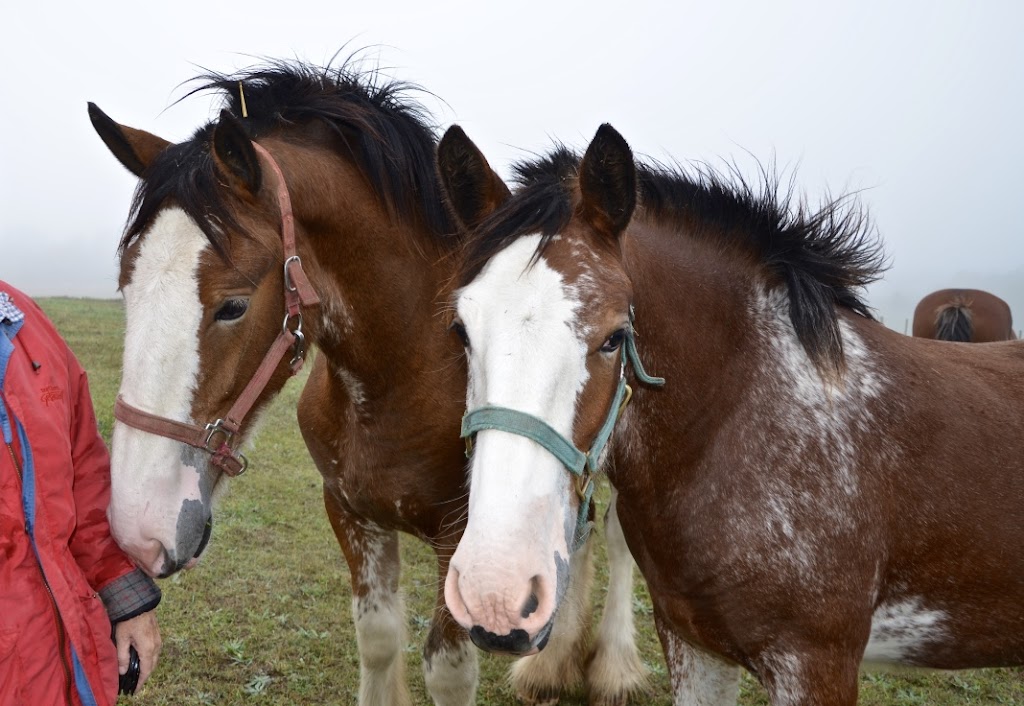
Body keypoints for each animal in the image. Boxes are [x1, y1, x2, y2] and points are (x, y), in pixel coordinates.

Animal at [92, 59, 643, 704]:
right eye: (125, 286)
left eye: (232, 306)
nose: (138, 531)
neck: (401, 375)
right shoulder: (352, 512)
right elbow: (378, 639)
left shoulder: (462, 539)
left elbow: (449, 670)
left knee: (616, 537)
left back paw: (613, 668)